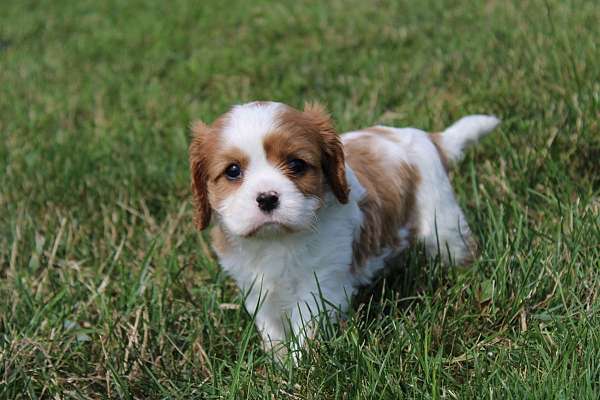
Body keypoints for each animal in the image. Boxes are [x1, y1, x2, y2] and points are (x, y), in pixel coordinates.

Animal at [190, 101, 500, 354]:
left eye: (296, 164)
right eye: (233, 171)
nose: (267, 198)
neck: (278, 241)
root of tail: (428, 137)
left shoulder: (321, 286)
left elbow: (307, 332)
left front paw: (300, 370)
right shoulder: (257, 290)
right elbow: (271, 331)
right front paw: (278, 366)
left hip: (443, 220)